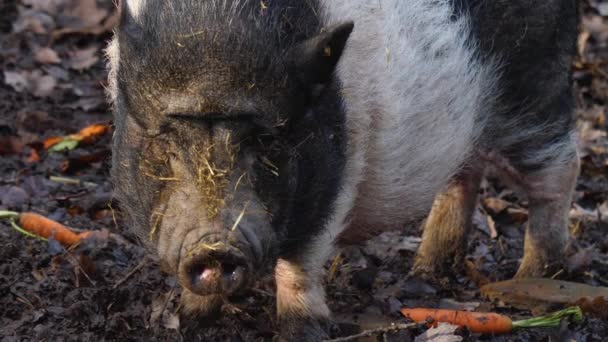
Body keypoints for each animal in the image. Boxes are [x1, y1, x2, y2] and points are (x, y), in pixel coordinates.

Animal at [104, 0, 580, 340]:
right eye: (165, 139)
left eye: (267, 141)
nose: (215, 245)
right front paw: (189, 320)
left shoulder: (336, 179)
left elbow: (301, 260)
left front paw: (304, 331)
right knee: (464, 172)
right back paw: (426, 269)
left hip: (533, 89)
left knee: (560, 170)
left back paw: (532, 279)